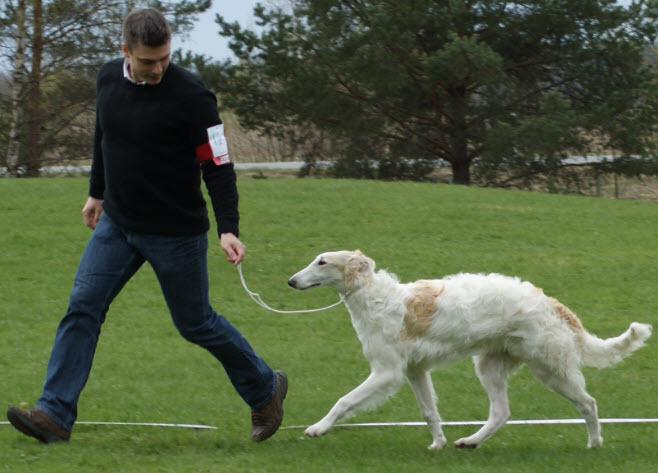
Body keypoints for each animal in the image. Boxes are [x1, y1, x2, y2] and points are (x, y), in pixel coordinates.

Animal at [288, 249, 652, 448]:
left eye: (322, 262)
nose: (291, 281)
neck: (378, 299)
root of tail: (550, 302)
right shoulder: (415, 370)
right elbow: (429, 412)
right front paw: (437, 443)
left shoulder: (387, 372)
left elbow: (343, 400)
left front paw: (317, 428)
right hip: (491, 365)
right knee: (501, 413)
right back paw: (470, 441)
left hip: (549, 367)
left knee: (588, 403)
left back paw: (594, 442)